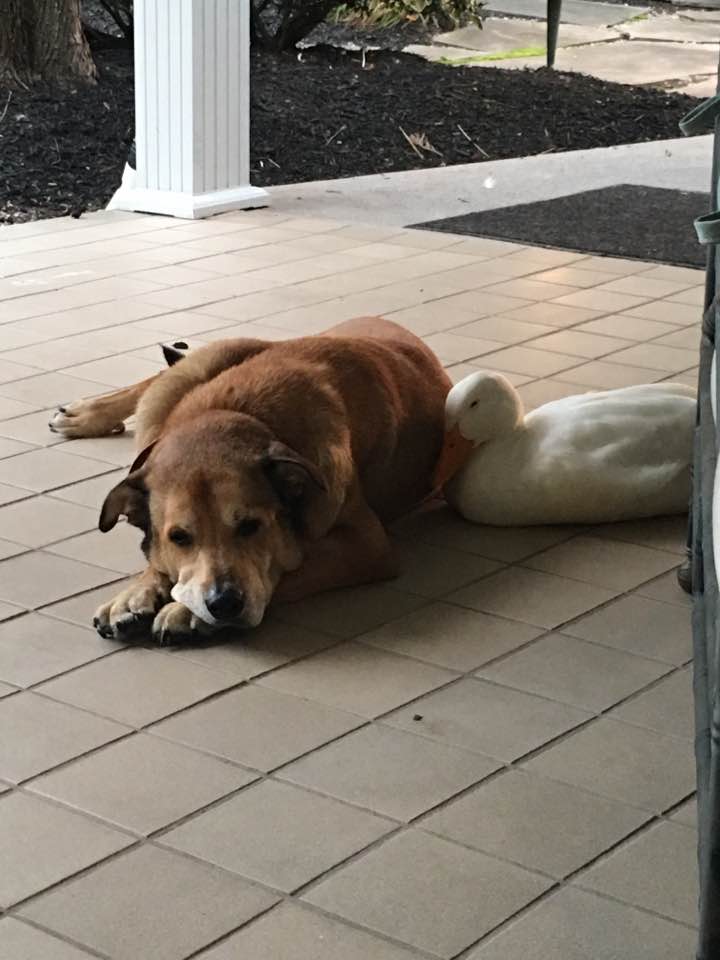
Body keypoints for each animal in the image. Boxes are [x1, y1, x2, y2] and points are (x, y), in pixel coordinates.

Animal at [50, 318, 450, 640]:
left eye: (251, 526)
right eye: (179, 536)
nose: (224, 603)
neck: (237, 412)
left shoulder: (365, 544)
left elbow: (290, 571)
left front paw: (185, 611)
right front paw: (137, 592)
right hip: (200, 368)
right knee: (161, 376)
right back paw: (85, 413)